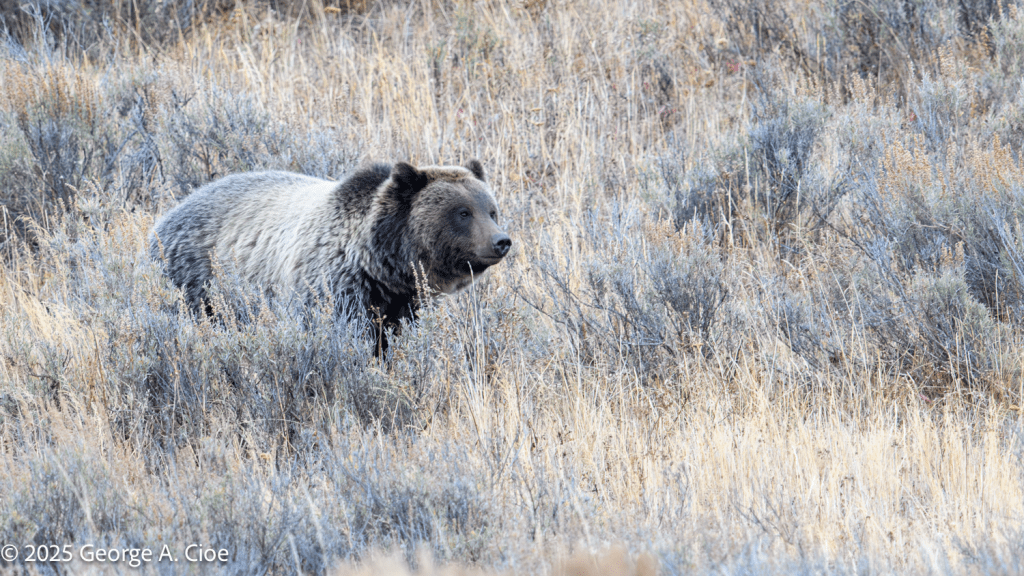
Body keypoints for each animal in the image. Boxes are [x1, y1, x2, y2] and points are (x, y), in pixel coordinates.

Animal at [149, 160, 511, 354]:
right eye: (462, 212)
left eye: (491, 209)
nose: (501, 241)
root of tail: (169, 213)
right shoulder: (333, 289)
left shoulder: (401, 303)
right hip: (195, 279)